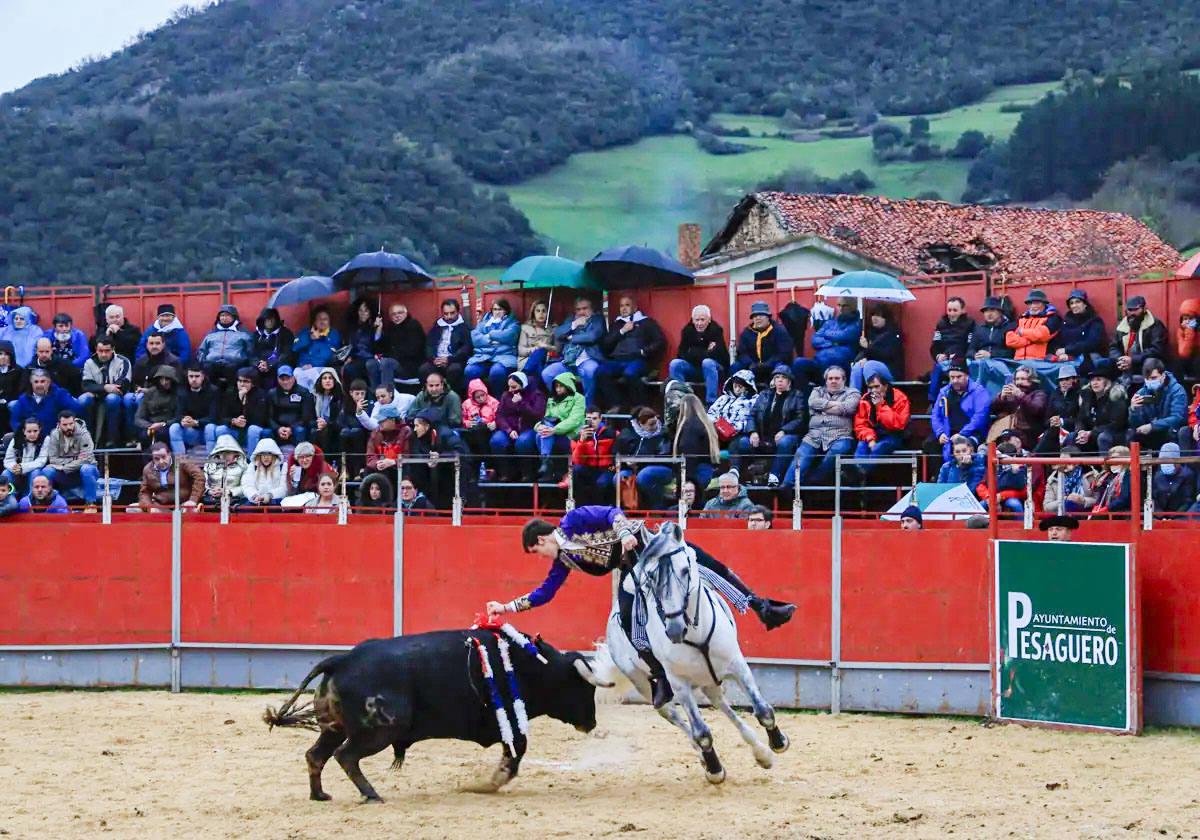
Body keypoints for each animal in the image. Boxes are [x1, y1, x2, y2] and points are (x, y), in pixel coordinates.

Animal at [262, 628, 609, 801]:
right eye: (582, 688)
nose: (591, 722)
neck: (531, 664)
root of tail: (341, 660)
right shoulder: (511, 721)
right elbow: (517, 749)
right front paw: (491, 783)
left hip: (334, 728)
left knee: (316, 755)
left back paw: (319, 794)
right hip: (378, 731)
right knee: (345, 756)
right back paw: (371, 795)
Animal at [592, 520, 787, 782]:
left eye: (686, 570)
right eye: (651, 577)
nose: (674, 629)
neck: (696, 632)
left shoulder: (737, 664)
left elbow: (763, 710)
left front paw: (778, 743)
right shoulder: (679, 684)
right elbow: (701, 733)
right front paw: (715, 770)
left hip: (709, 679)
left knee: (721, 704)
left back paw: (761, 752)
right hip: (643, 683)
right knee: (673, 715)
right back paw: (706, 757)